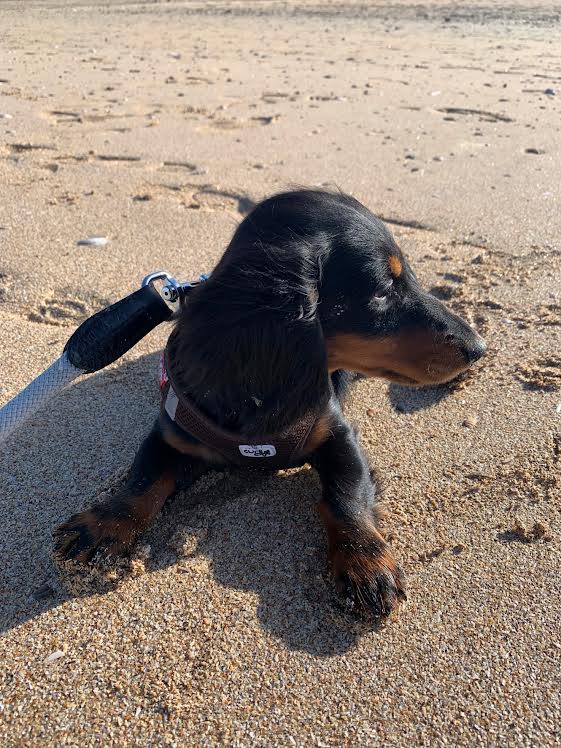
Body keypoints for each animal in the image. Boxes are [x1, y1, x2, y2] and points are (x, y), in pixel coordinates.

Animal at [54, 188, 484, 620]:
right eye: (381, 291)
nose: (478, 347)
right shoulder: (171, 432)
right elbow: (145, 479)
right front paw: (104, 523)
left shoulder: (339, 435)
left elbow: (345, 497)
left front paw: (365, 561)